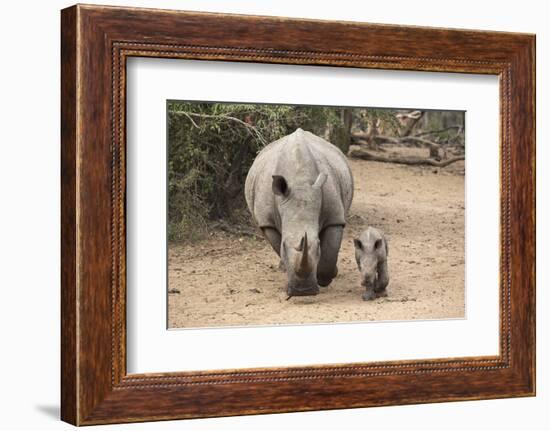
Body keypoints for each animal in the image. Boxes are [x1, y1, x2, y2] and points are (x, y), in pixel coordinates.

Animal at [245, 128, 354, 296]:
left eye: (318, 245)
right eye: (284, 245)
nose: (303, 291)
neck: (299, 181)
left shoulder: (335, 217)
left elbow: (330, 251)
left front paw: (324, 278)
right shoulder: (267, 222)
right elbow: (277, 245)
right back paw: (282, 268)